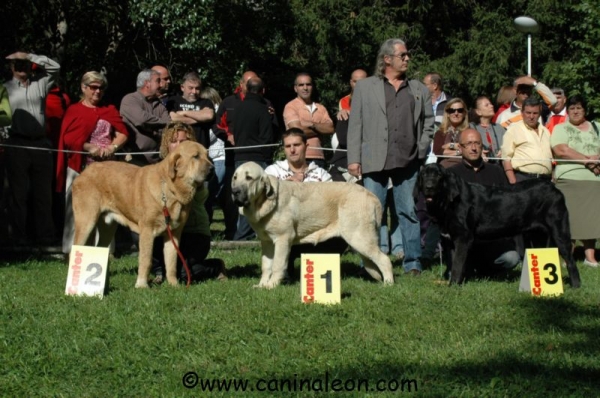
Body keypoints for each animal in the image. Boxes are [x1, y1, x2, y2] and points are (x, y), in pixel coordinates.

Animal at [72, 141, 213, 288]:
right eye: (195, 156)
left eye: (207, 155)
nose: (212, 169)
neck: (169, 189)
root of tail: (84, 173)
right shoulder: (147, 231)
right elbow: (146, 260)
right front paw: (142, 285)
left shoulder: (174, 233)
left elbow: (171, 261)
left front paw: (174, 285)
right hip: (86, 222)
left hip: (107, 228)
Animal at [230, 162, 394, 290]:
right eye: (235, 177)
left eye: (249, 178)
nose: (234, 191)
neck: (263, 202)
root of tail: (371, 196)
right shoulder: (267, 242)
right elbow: (266, 265)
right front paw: (262, 285)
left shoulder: (283, 239)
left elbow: (277, 265)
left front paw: (272, 285)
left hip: (359, 238)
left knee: (384, 259)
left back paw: (388, 283)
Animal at [418, 163, 580, 288]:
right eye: (424, 175)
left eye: (438, 175)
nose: (429, 187)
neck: (447, 202)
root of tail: (554, 188)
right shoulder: (450, 239)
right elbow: (454, 263)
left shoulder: (463, 238)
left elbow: (457, 264)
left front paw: (453, 286)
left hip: (559, 231)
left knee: (570, 260)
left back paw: (575, 286)